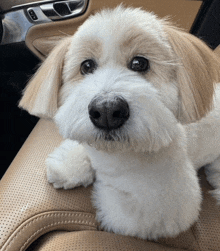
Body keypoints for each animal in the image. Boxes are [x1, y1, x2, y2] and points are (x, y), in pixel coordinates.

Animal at [18, 6, 220, 241]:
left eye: (140, 63)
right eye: (86, 66)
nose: (106, 110)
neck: (118, 152)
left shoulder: (167, 206)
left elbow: (122, 212)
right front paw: (69, 166)